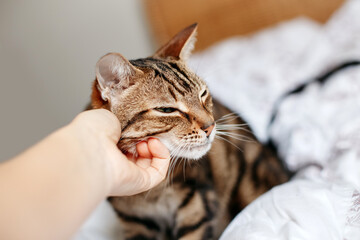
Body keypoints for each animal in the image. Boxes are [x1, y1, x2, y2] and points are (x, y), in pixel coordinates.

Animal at [90, 23, 290, 240]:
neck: (151, 194)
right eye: (167, 110)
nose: (211, 126)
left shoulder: (197, 208)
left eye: (203, 94)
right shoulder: (135, 222)